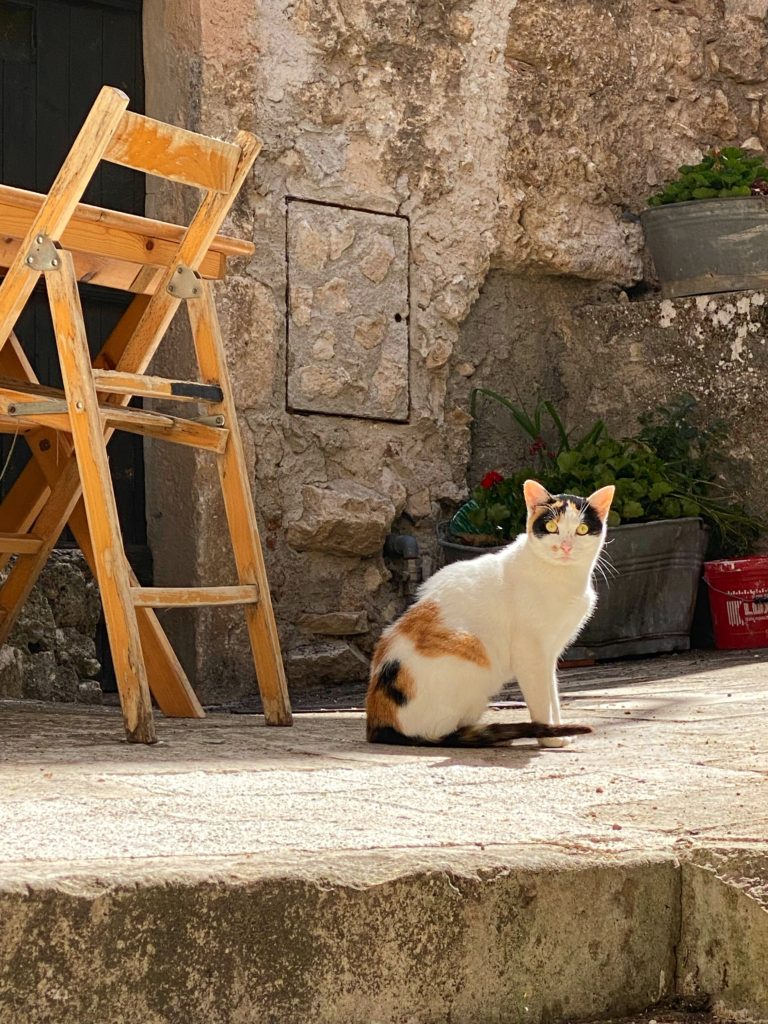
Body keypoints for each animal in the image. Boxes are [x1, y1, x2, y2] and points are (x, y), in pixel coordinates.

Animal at [368, 475, 618, 749]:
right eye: (551, 526)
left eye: (581, 530)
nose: (565, 547)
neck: (563, 578)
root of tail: (377, 724)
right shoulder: (530, 653)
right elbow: (542, 699)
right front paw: (549, 737)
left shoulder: (549, 653)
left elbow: (552, 695)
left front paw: (558, 731)